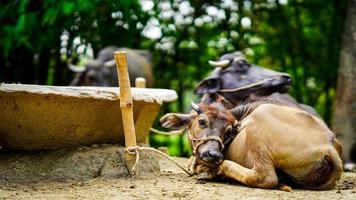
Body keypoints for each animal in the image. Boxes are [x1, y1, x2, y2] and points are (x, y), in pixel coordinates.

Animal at [161, 101, 342, 190]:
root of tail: (328, 145)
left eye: (228, 131)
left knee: (265, 178)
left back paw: (214, 171)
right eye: (202, 121)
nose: (214, 155)